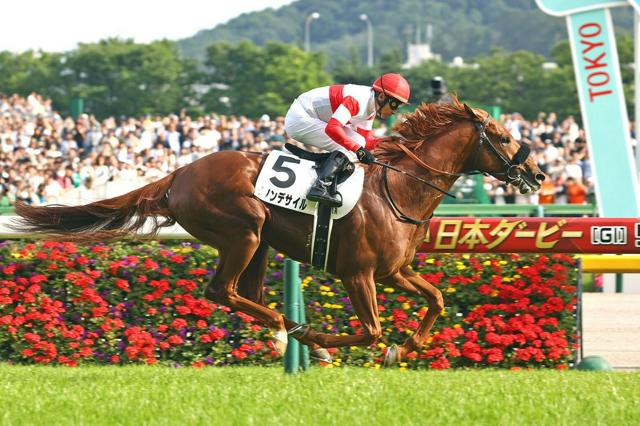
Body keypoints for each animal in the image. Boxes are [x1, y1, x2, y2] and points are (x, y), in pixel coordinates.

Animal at [13, 96, 544, 367]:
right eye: (502, 137)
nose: (537, 174)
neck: (398, 189)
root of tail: (179, 174)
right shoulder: (358, 274)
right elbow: (370, 329)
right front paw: (326, 341)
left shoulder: (394, 271)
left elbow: (435, 299)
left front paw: (404, 347)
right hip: (243, 233)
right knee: (221, 290)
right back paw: (286, 332)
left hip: (261, 243)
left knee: (241, 294)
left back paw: (284, 330)